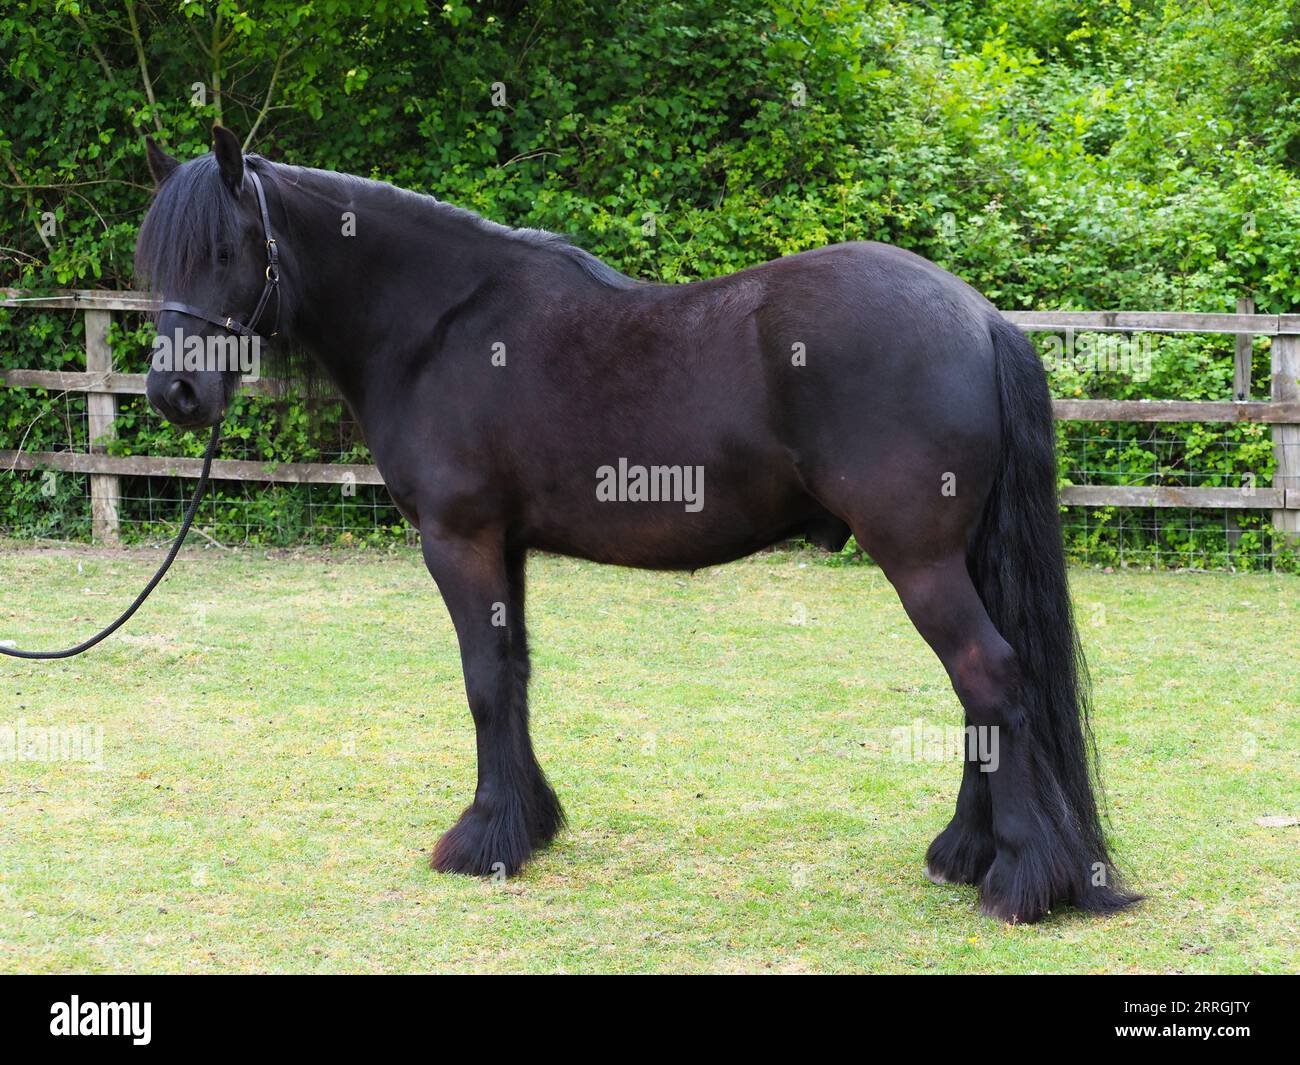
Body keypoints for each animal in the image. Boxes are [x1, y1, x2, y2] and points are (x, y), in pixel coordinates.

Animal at [137, 124, 1138, 925]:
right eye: (158, 261)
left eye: (227, 248)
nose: (174, 392)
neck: (437, 326)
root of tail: (978, 316)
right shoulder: (505, 547)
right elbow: (514, 673)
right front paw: (527, 825)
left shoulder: (460, 541)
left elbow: (483, 681)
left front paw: (482, 839)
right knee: (980, 690)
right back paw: (964, 853)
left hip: (920, 558)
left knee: (989, 676)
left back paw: (1020, 882)